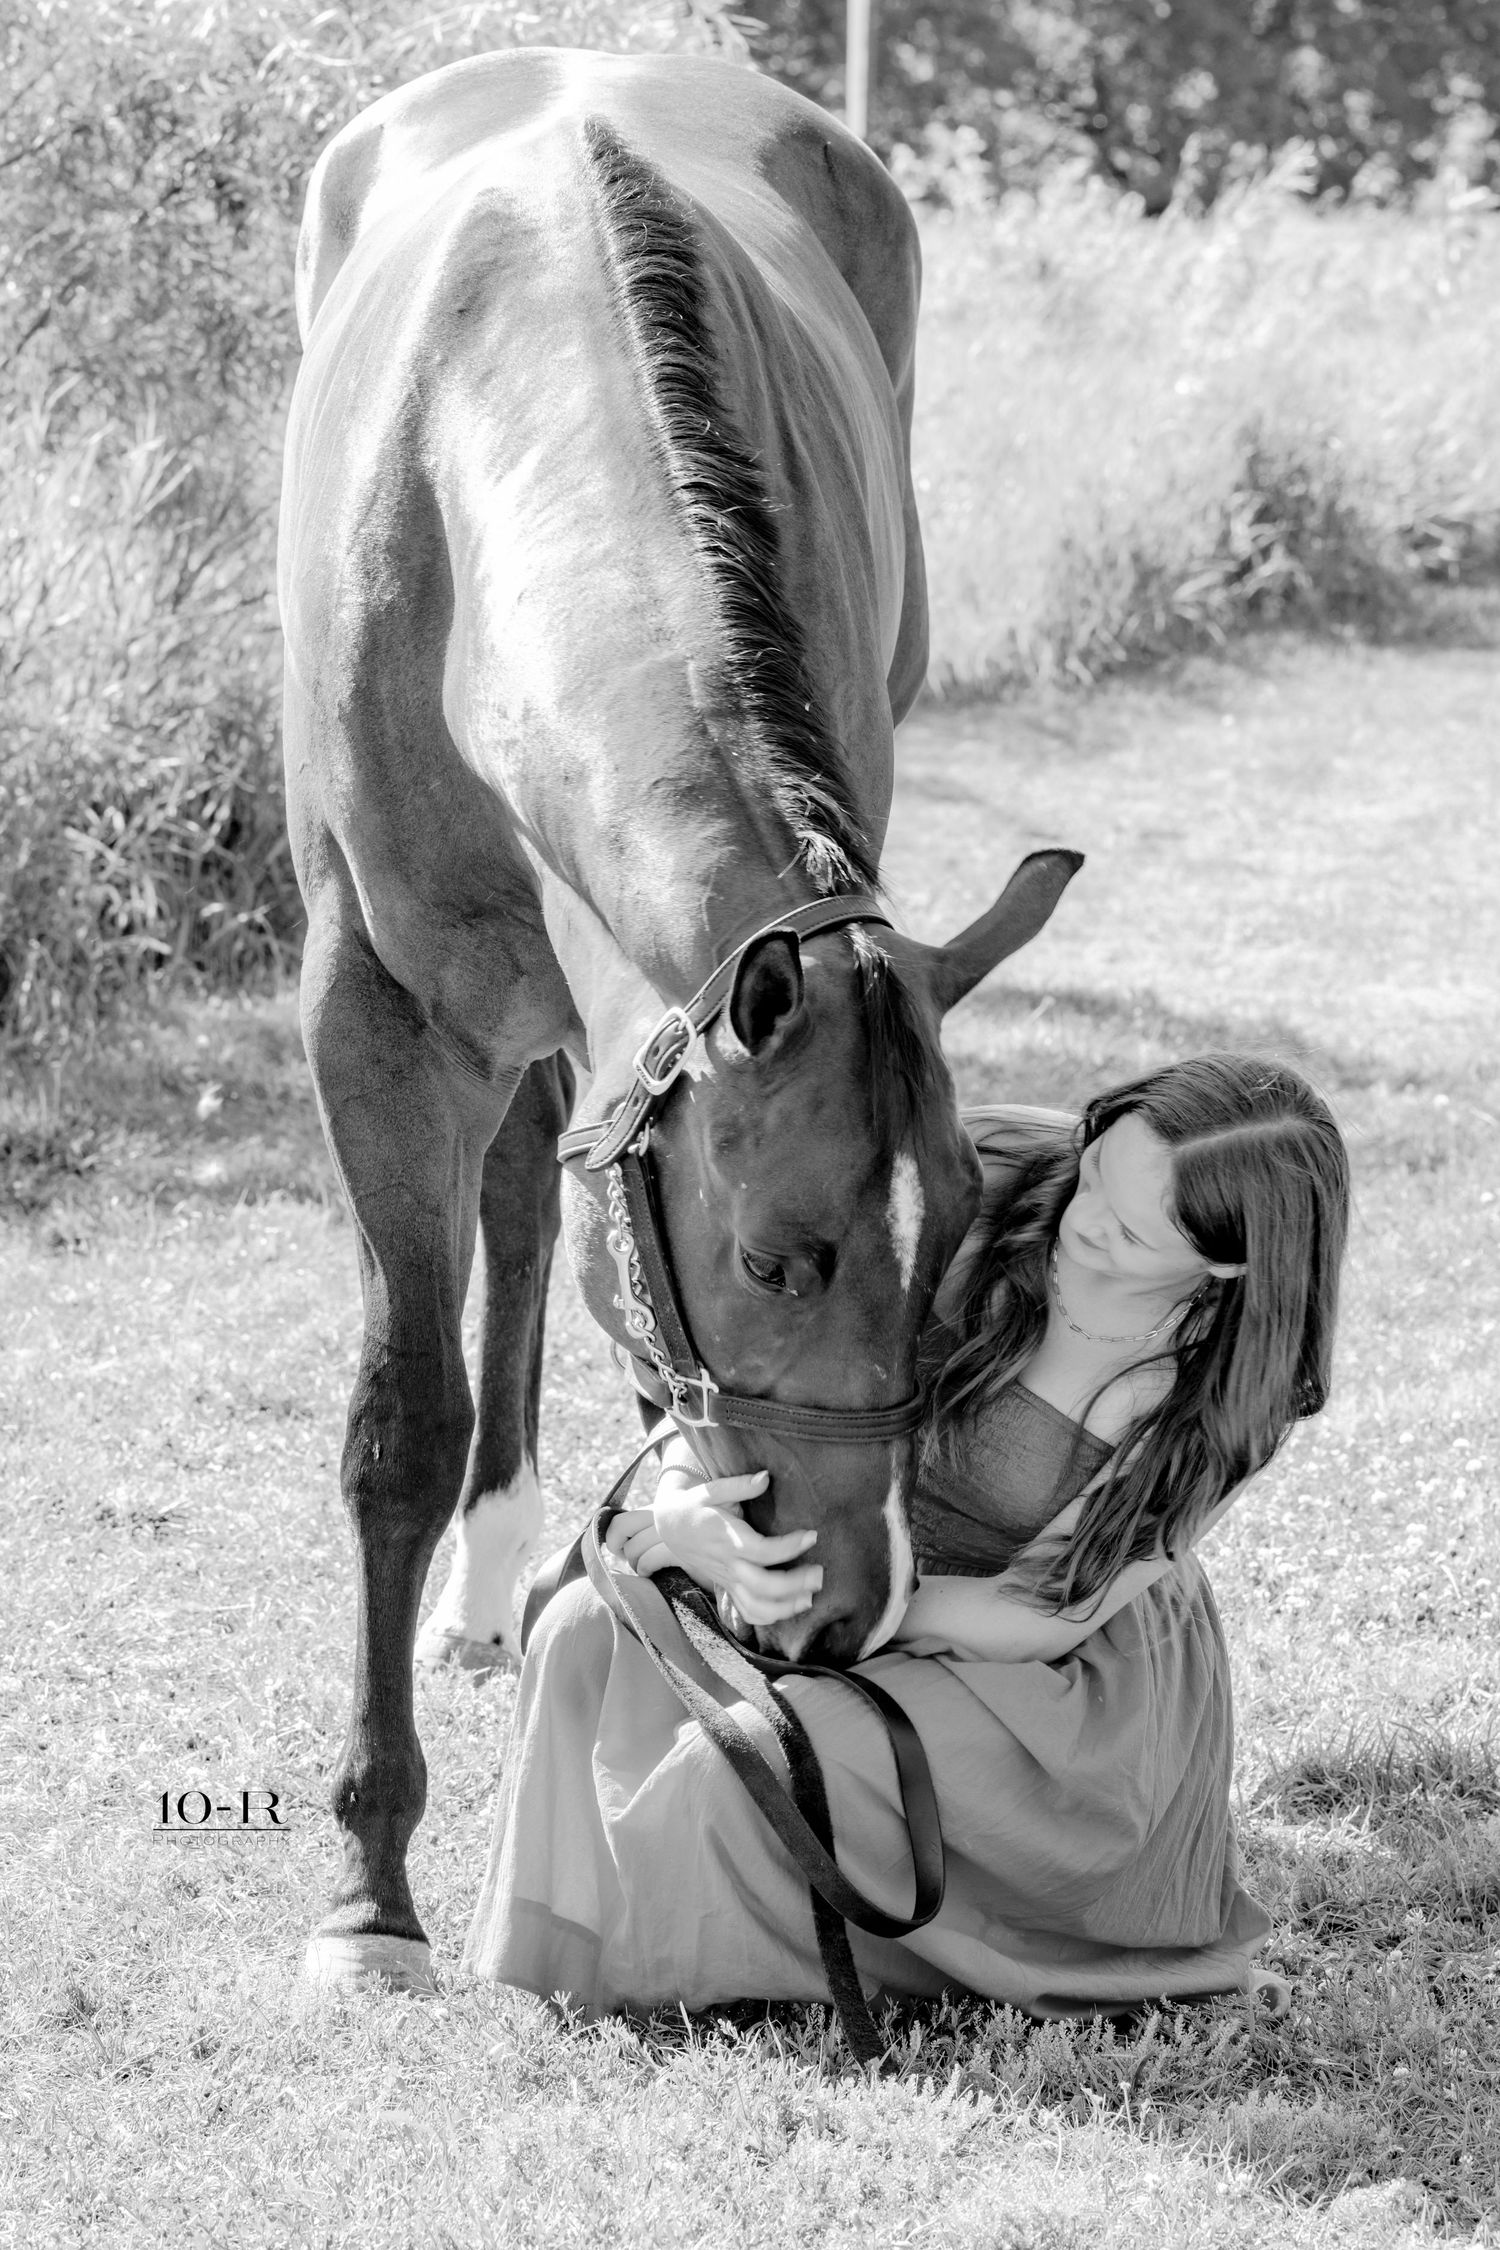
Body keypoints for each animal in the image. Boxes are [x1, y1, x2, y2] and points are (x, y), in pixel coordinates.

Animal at [279, 46, 1079, 1993]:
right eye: (781, 1259)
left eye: (963, 1245)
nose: (852, 1608)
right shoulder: (370, 1017)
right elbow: (395, 1422)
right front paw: (369, 1889)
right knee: (512, 1194)